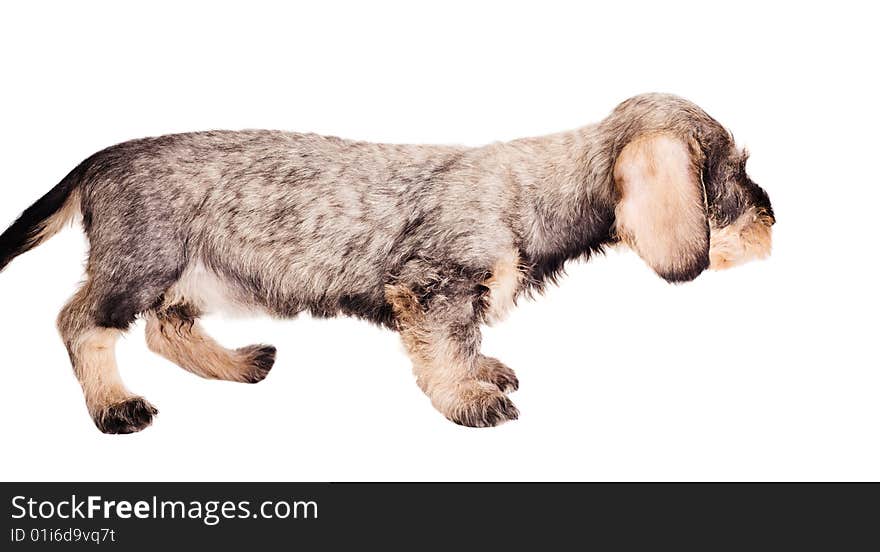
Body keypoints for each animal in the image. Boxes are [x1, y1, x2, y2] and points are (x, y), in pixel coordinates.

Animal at [0, 94, 768, 432]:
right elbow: (445, 351)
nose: (773, 221)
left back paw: (237, 364)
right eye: (733, 173)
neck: (537, 190)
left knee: (167, 329)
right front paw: (467, 398)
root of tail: (99, 160)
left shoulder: (457, 297)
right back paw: (113, 404)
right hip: (139, 266)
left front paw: (482, 371)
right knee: (81, 324)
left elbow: (468, 342)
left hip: (193, 272)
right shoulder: (433, 290)